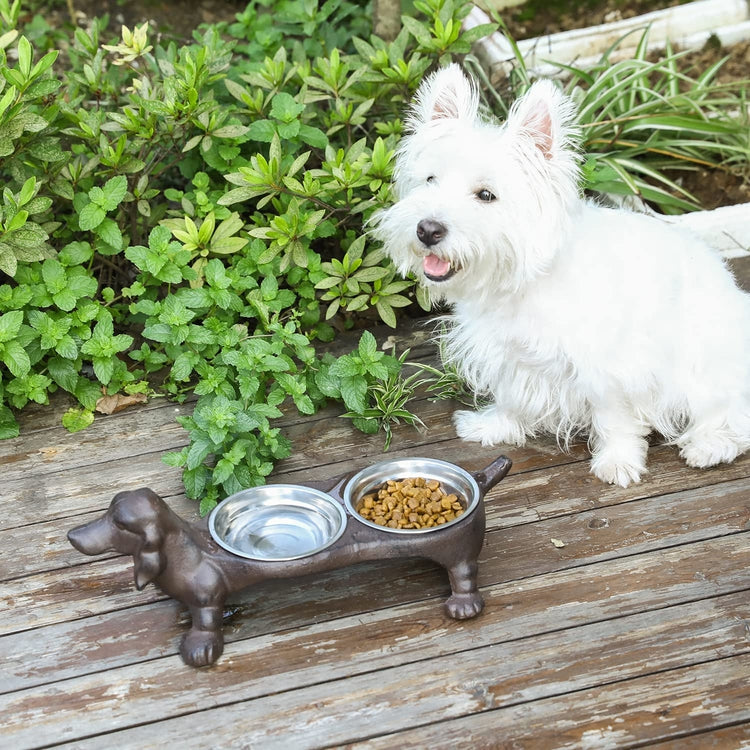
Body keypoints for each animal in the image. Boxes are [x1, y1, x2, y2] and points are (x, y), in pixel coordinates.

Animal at [376, 63, 750, 488]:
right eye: (430, 180)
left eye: (486, 195)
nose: (428, 229)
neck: (524, 282)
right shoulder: (508, 355)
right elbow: (510, 395)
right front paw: (496, 427)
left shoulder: (608, 367)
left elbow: (614, 416)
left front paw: (618, 461)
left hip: (704, 365)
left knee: (732, 411)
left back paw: (709, 446)